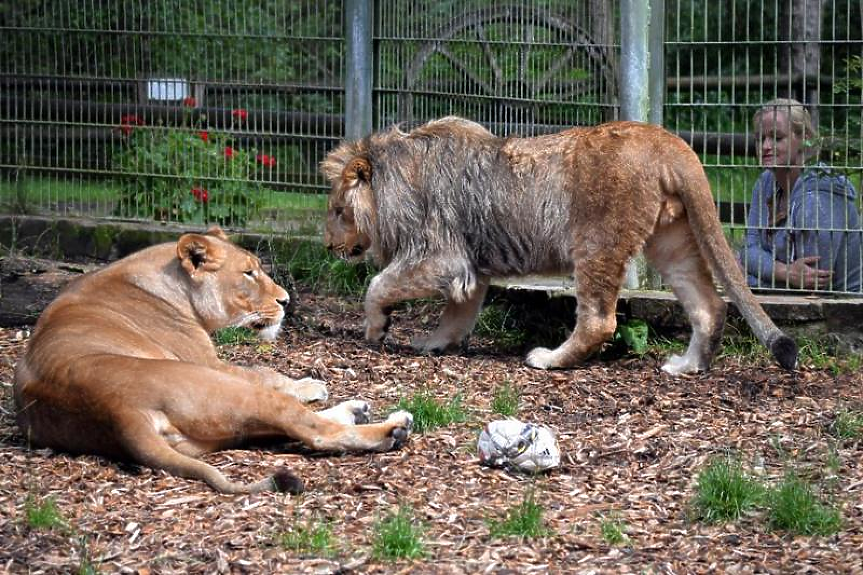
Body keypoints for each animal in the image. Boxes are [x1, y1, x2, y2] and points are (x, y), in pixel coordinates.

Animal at [12, 227, 412, 492]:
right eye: (249, 272)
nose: (285, 301)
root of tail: (116, 412)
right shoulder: (209, 362)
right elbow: (264, 371)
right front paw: (309, 384)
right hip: (221, 387)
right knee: (312, 430)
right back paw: (391, 429)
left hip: (208, 432)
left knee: (281, 427)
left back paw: (357, 411)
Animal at [320, 119, 800, 376]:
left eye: (339, 210)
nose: (327, 245)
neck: (396, 175)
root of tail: (668, 142)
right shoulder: (470, 266)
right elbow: (458, 314)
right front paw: (433, 344)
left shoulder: (441, 255)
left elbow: (378, 285)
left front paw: (376, 328)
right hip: (672, 242)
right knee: (709, 306)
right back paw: (687, 366)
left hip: (595, 242)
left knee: (599, 322)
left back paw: (548, 359)